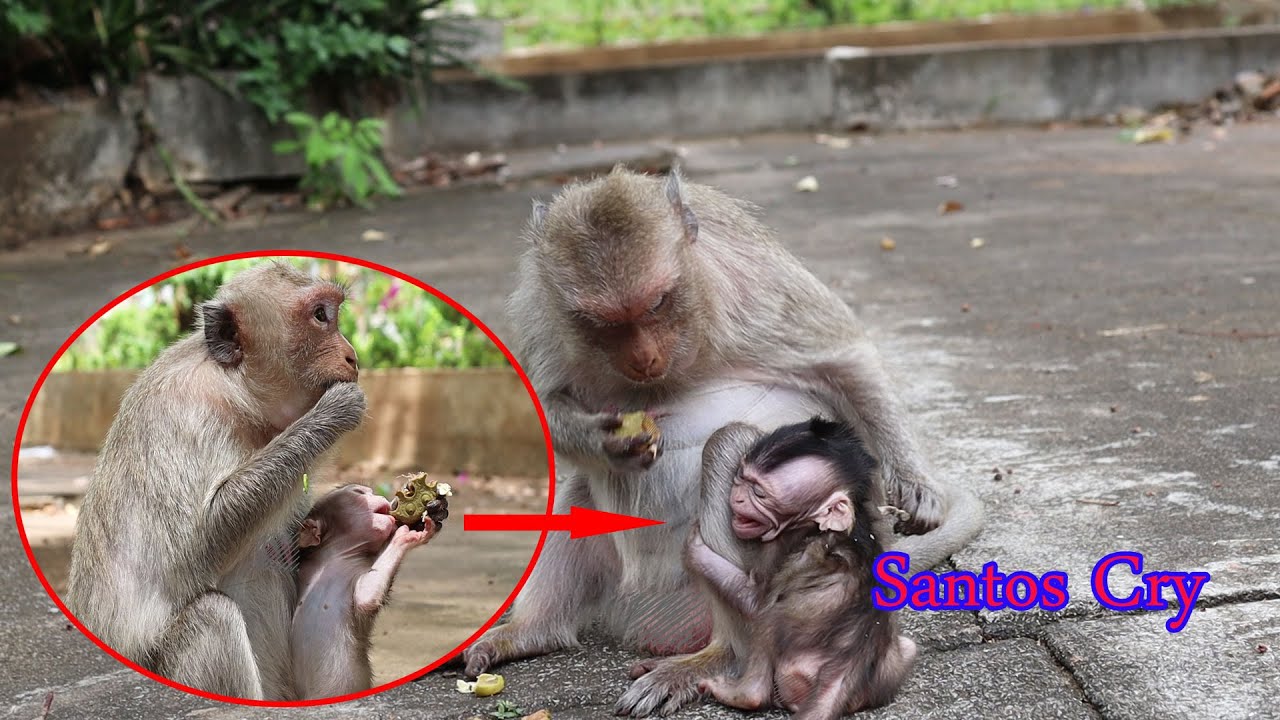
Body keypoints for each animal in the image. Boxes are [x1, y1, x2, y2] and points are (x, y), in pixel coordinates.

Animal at [66, 260, 366, 700]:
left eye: (333, 312)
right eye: (319, 316)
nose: (353, 356)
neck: (235, 388)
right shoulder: (185, 414)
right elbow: (196, 546)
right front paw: (332, 413)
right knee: (212, 619)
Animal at [291, 484, 437, 700]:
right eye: (359, 493)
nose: (379, 497)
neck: (336, 558)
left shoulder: (357, 572)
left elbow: (366, 598)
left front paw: (403, 536)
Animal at [686, 419, 915, 719]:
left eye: (759, 493)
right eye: (741, 478)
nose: (737, 499)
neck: (815, 526)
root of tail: (842, 673)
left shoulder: (781, 543)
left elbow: (755, 599)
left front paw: (696, 549)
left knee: (767, 619)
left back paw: (744, 694)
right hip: (884, 675)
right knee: (909, 647)